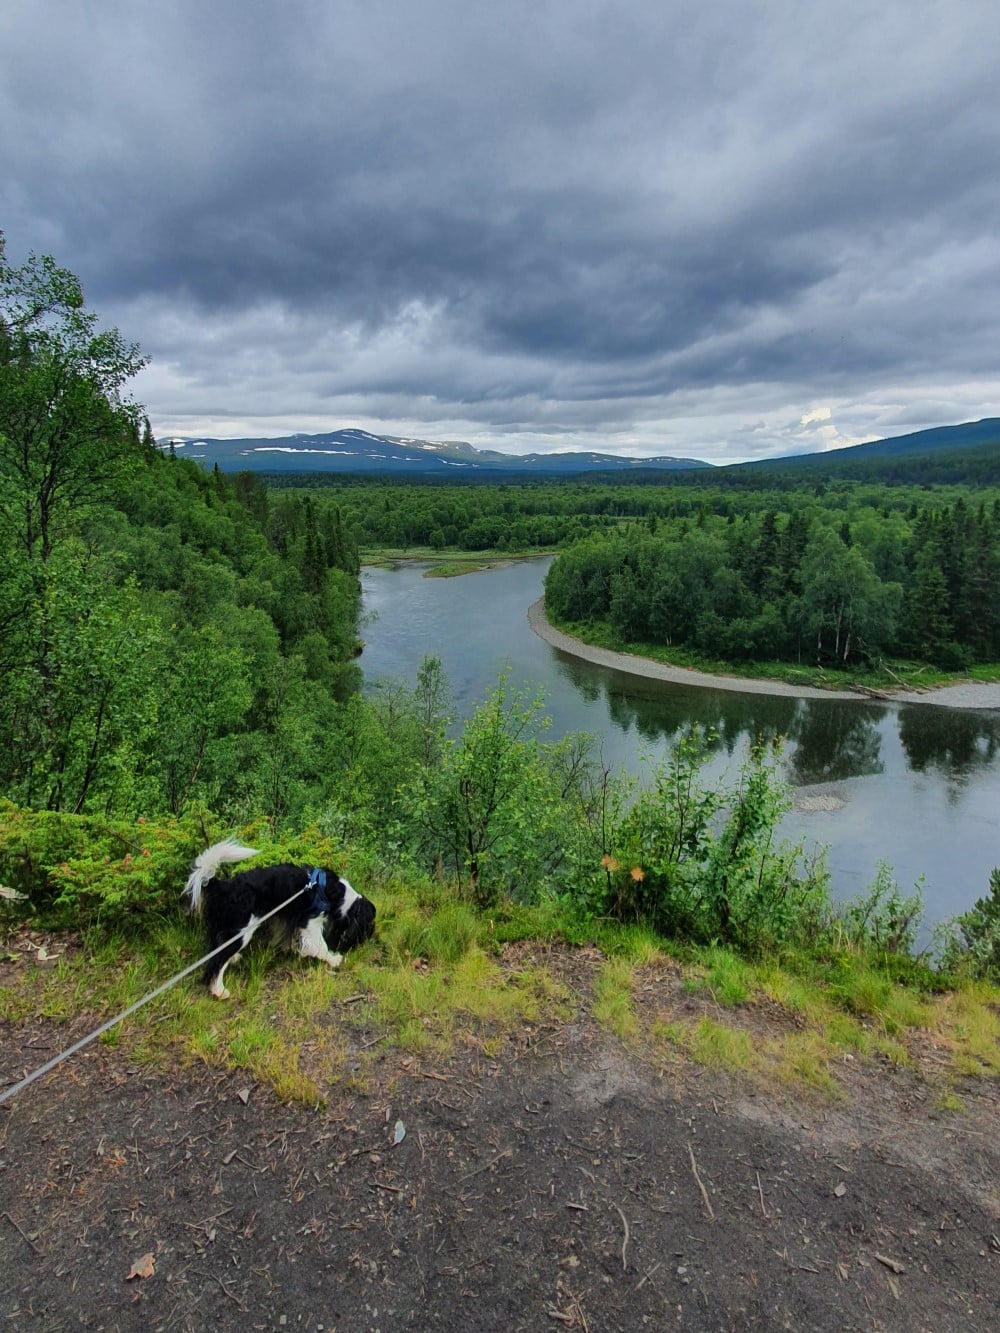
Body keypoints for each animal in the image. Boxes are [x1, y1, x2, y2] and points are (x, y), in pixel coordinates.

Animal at [184, 842, 376, 1002]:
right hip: (242, 930)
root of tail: (222, 886)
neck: (340, 895)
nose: (364, 944)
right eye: (366, 928)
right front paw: (334, 959)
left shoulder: (287, 919)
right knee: (217, 962)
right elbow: (320, 945)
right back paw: (219, 991)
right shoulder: (310, 922)